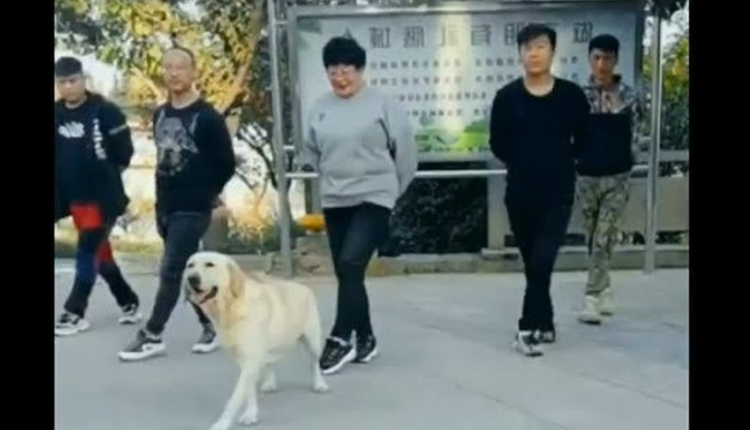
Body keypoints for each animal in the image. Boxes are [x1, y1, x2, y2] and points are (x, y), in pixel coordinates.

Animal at [183, 251, 329, 429]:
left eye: (210, 264)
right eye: (190, 265)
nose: (191, 279)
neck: (231, 307)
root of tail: (303, 286)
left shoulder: (249, 361)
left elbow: (236, 397)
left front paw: (223, 422)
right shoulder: (246, 360)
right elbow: (248, 390)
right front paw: (251, 413)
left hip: (312, 340)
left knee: (314, 363)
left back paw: (319, 384)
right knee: (270, 361)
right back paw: (270, 382)